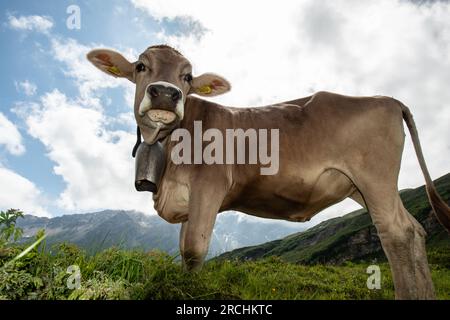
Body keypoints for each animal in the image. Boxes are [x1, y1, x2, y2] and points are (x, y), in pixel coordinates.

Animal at [88, 45, 450, 300]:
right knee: (415, 230)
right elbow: (184, 251)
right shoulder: (189, 201)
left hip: (374, 178)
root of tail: (387, 99)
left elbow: (193, 249)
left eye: (188, 76)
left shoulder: (210, 184)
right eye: (140, 66)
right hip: (364, 188)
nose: (166, 93)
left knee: (397, 233)